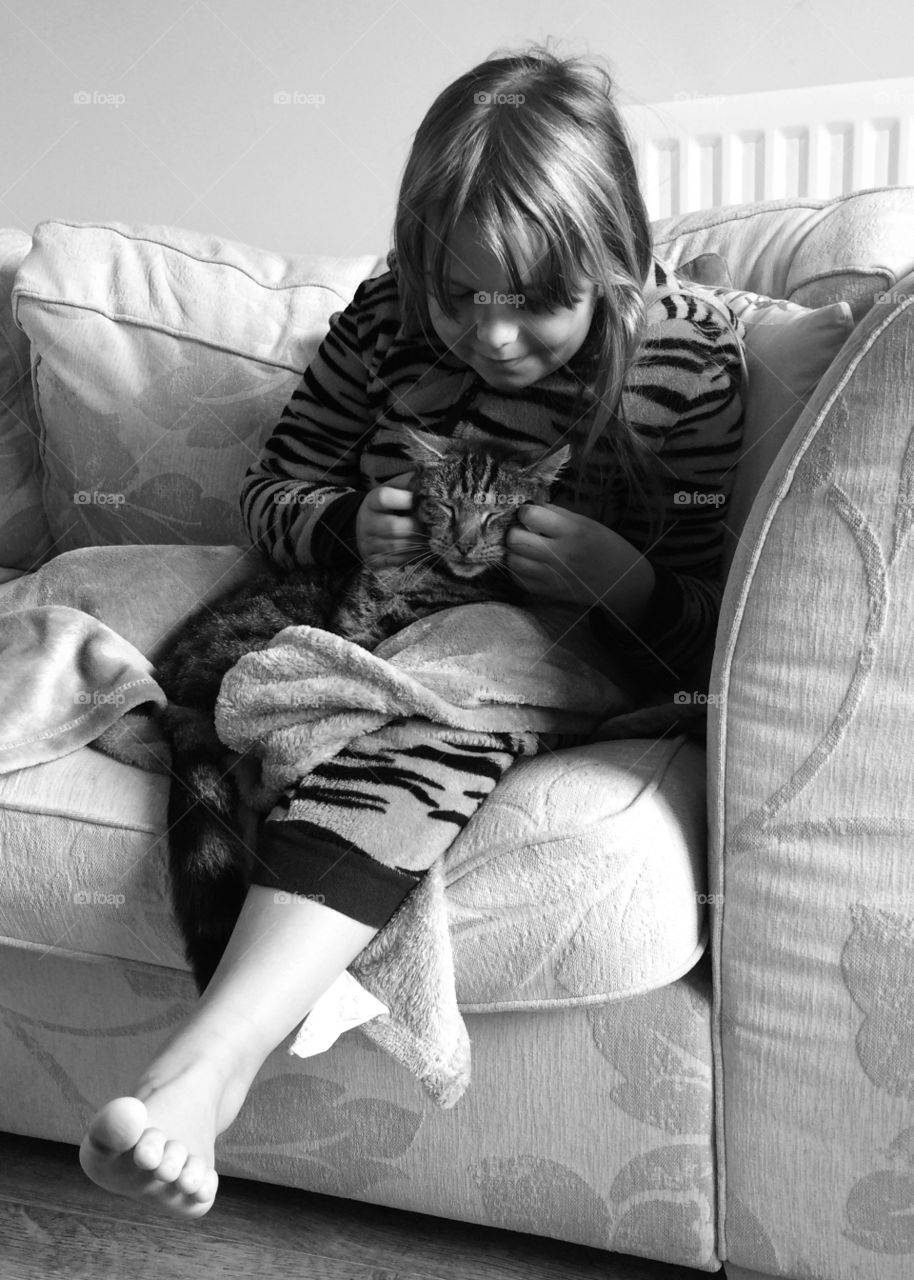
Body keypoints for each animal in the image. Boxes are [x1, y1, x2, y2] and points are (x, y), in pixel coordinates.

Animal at [158, 430, 568, 988]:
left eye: (498, 514)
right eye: (445, 506)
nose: (464, 542)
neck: (423, 574)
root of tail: (175, 698)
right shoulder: (352, 621)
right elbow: (355, 640)